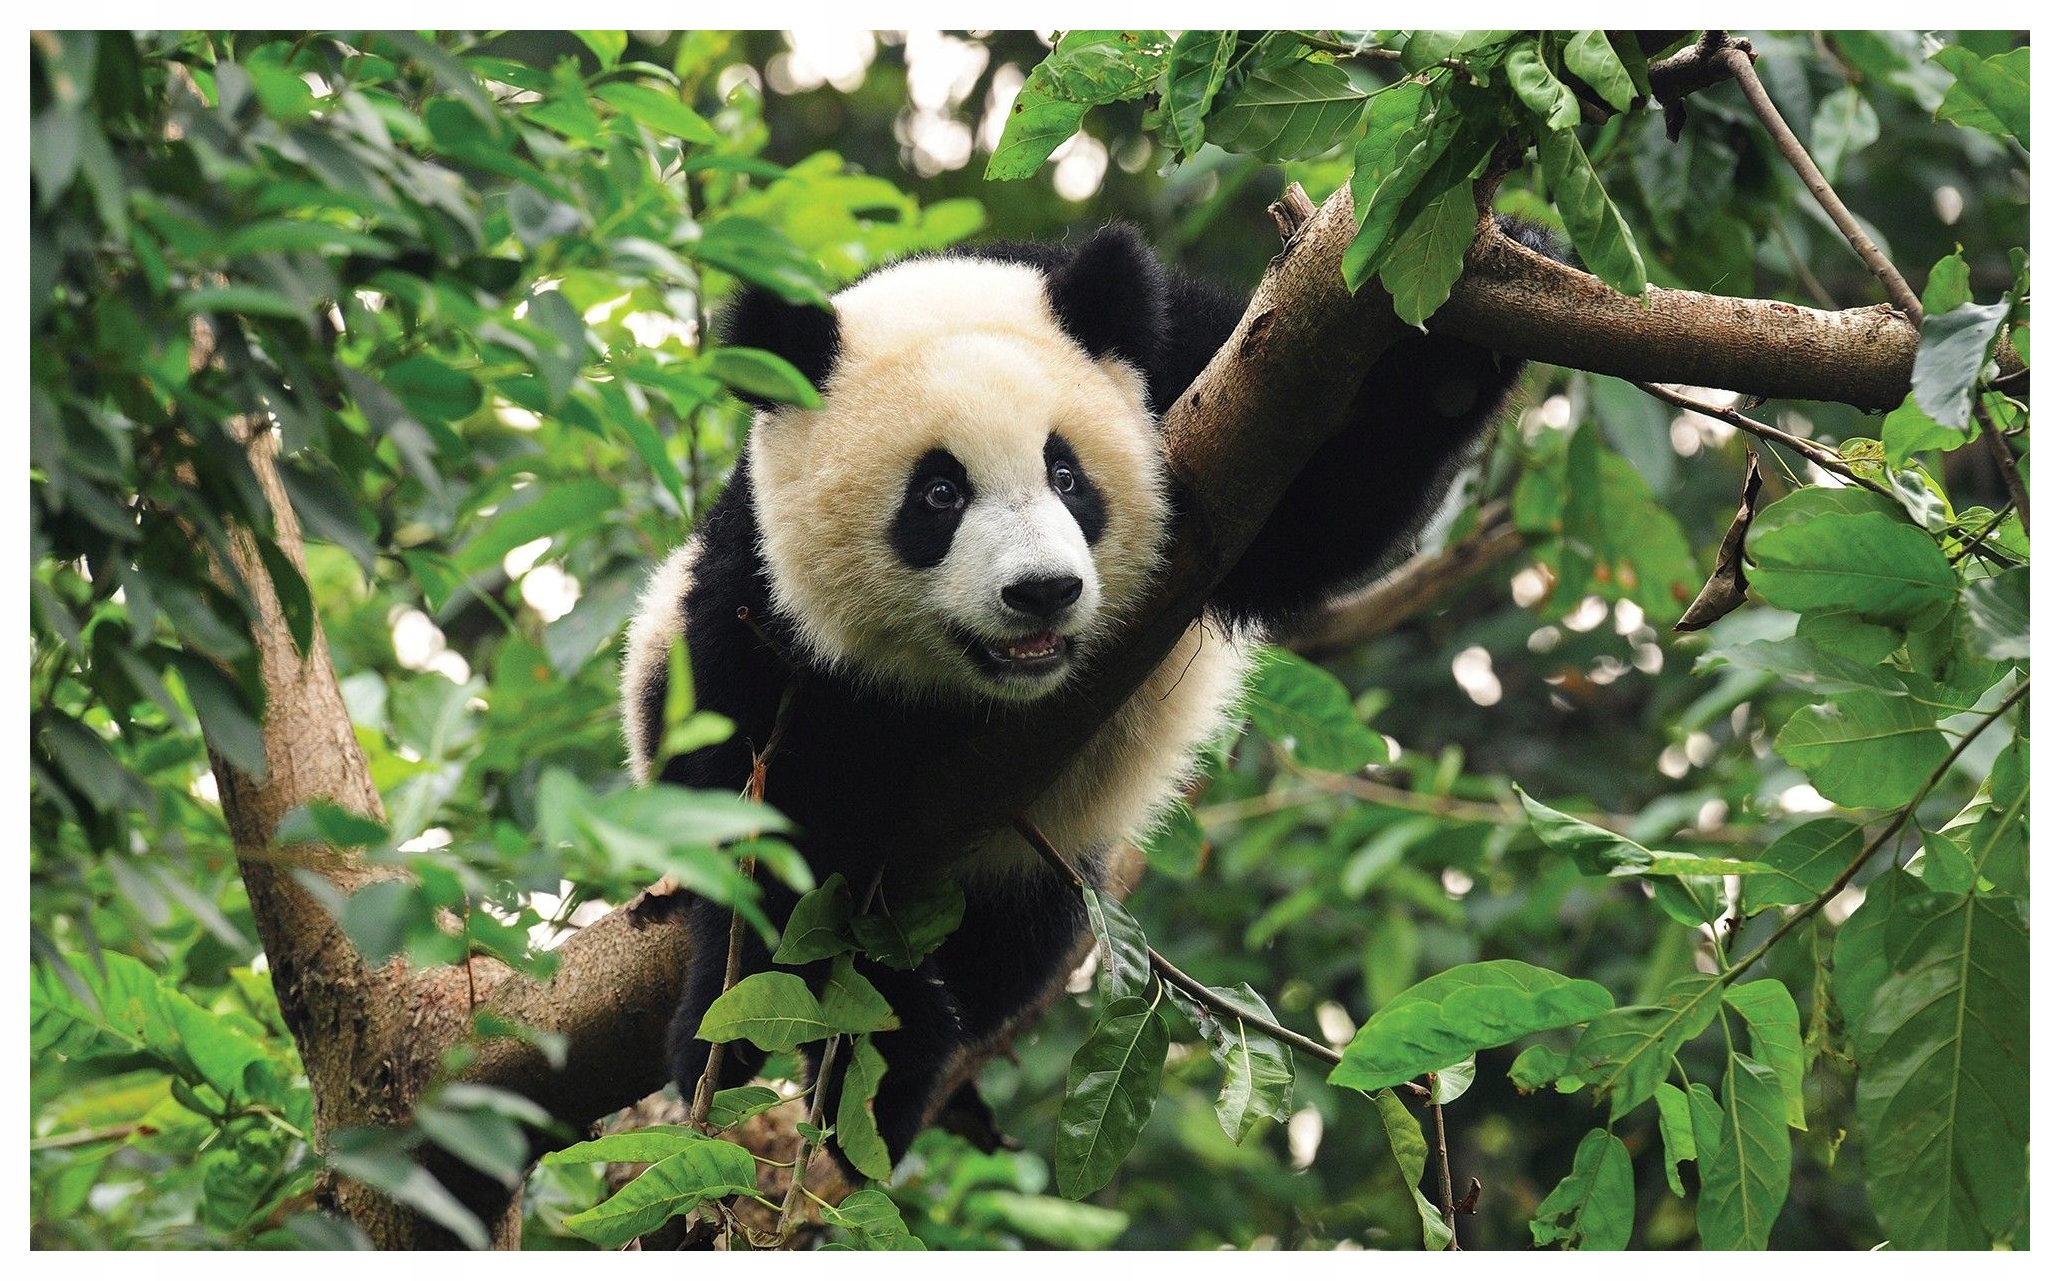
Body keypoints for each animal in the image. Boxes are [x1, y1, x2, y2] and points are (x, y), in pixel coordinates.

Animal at [621, 222, 1539, 1171]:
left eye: (1067, 475)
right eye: (939, 493)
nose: (1042, 591)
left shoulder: (1199, 381)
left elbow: (1317, 510)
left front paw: (1477, 317)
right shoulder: (758, 607)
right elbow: (774, 828)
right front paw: (815, 1033)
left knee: (1012, 951)